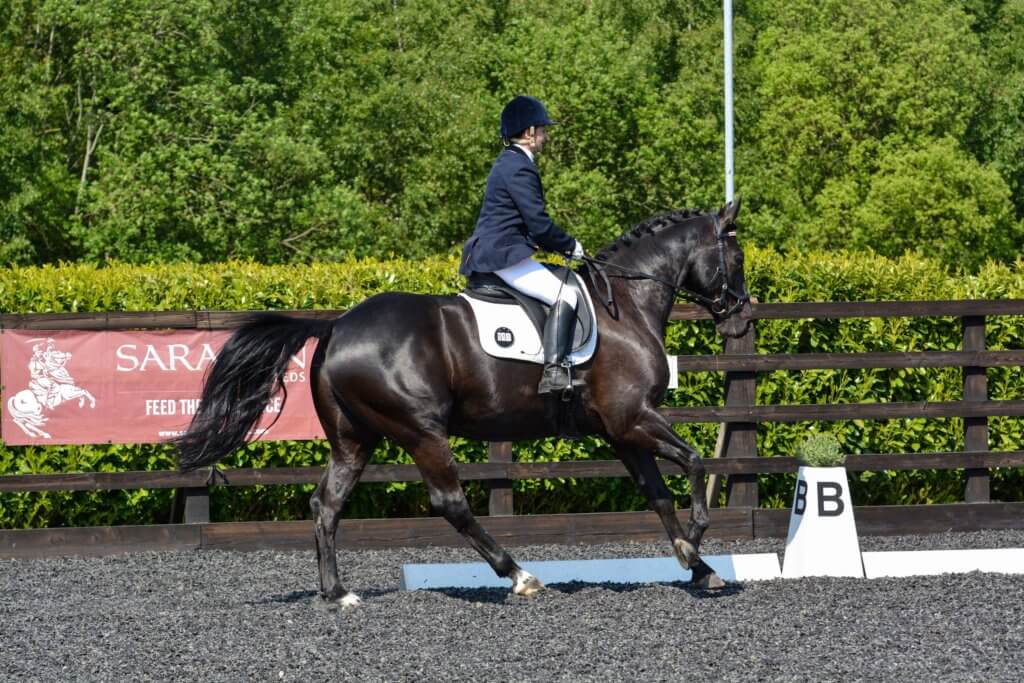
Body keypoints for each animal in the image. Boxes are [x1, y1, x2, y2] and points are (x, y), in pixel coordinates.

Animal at [175, 200, 752, 607]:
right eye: (739, 256)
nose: (742, 320)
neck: (626, 307)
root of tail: (337, 326)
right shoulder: (634, 418)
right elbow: (695, 461)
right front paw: (697, 541)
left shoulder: (620, 430)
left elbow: (658, 495)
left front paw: (699, 566)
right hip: (421, 432)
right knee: (449, 502)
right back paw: (518, 575)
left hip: (354, 438)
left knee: (328, 504)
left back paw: (338, 593)